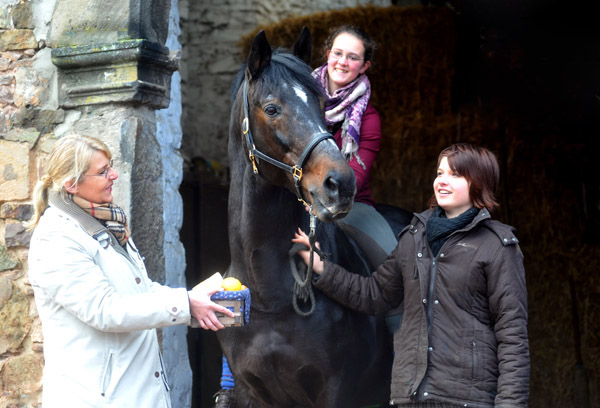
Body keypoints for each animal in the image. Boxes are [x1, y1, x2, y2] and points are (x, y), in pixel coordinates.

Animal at [218, 27, 396, 406]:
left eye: (322, 106)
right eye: (271, 108)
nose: (341, 184)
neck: (271, 297)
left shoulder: (337, 391)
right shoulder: (254, 392)